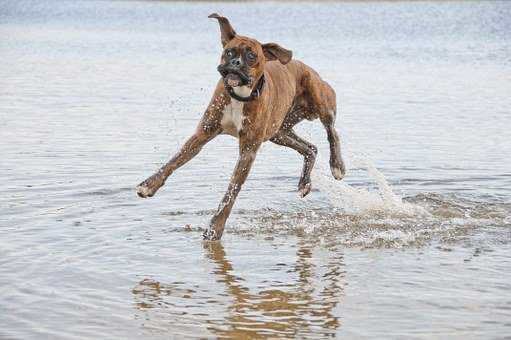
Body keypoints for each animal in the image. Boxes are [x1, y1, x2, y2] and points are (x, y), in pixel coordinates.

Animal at [136, 13, 346, 240]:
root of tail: (305, 66)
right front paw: (149, 185)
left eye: (252, 56)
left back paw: (337, 165)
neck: (240, 96)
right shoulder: (202, 135)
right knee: (310, 148)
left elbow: (231, 191)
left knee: (332, 132)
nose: (236, 63)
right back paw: (304, 183)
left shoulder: (248, 151)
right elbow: (174, 161)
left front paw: (215, 227)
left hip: (321, 102)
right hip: (279, 133)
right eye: (229, 52)